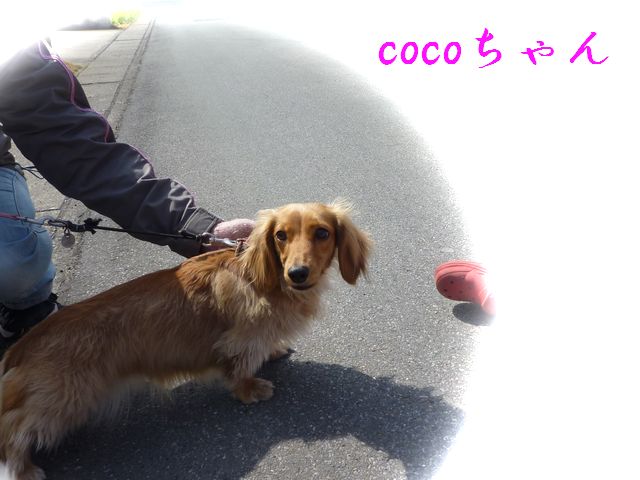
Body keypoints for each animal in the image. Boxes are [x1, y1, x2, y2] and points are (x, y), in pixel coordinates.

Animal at [0, 201, 371, 480]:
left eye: (322, 233)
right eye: (280, 235)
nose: (297, 274)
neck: (267, 280)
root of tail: (24, 346)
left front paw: (274, 351)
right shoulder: (241, 340)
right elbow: (240, 368)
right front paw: (250, 389)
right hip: (65, 397)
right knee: (13, 428)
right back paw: (22, 469)